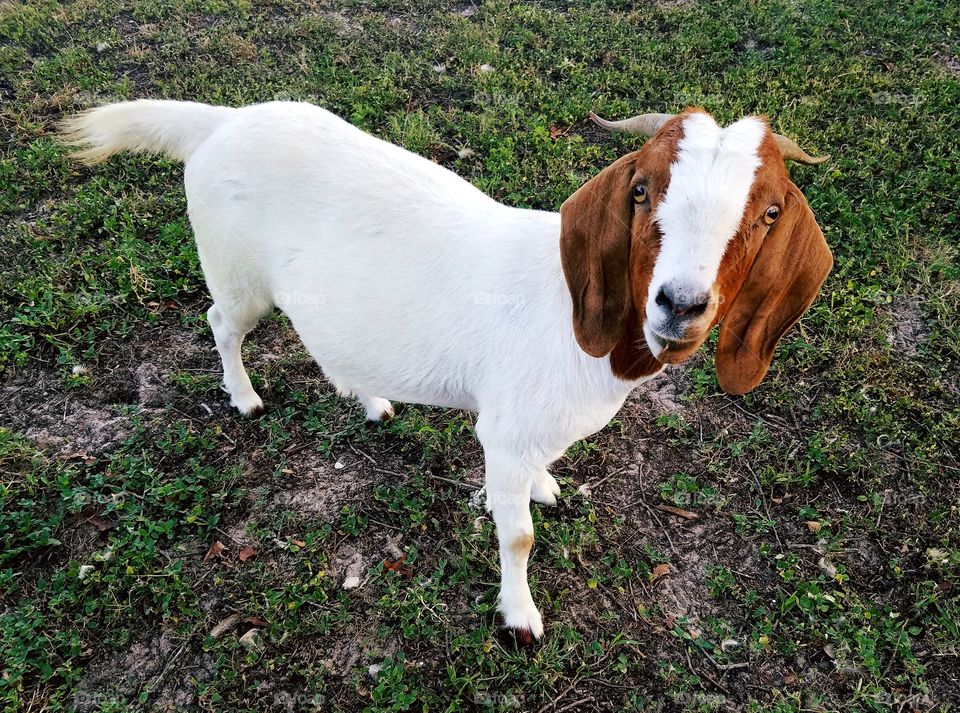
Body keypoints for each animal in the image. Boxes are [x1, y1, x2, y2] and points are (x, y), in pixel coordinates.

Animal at [62, 100, 833, 639]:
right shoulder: (505, 431)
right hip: (235, 273)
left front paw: (546, 487)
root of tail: (219, 123)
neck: (569, 318)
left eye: (769, 210)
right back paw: (245, 397)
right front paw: (519, 617)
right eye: (642, 191)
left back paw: (370, 397)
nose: (681, 304)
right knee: (222, 323)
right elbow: (517, 533)